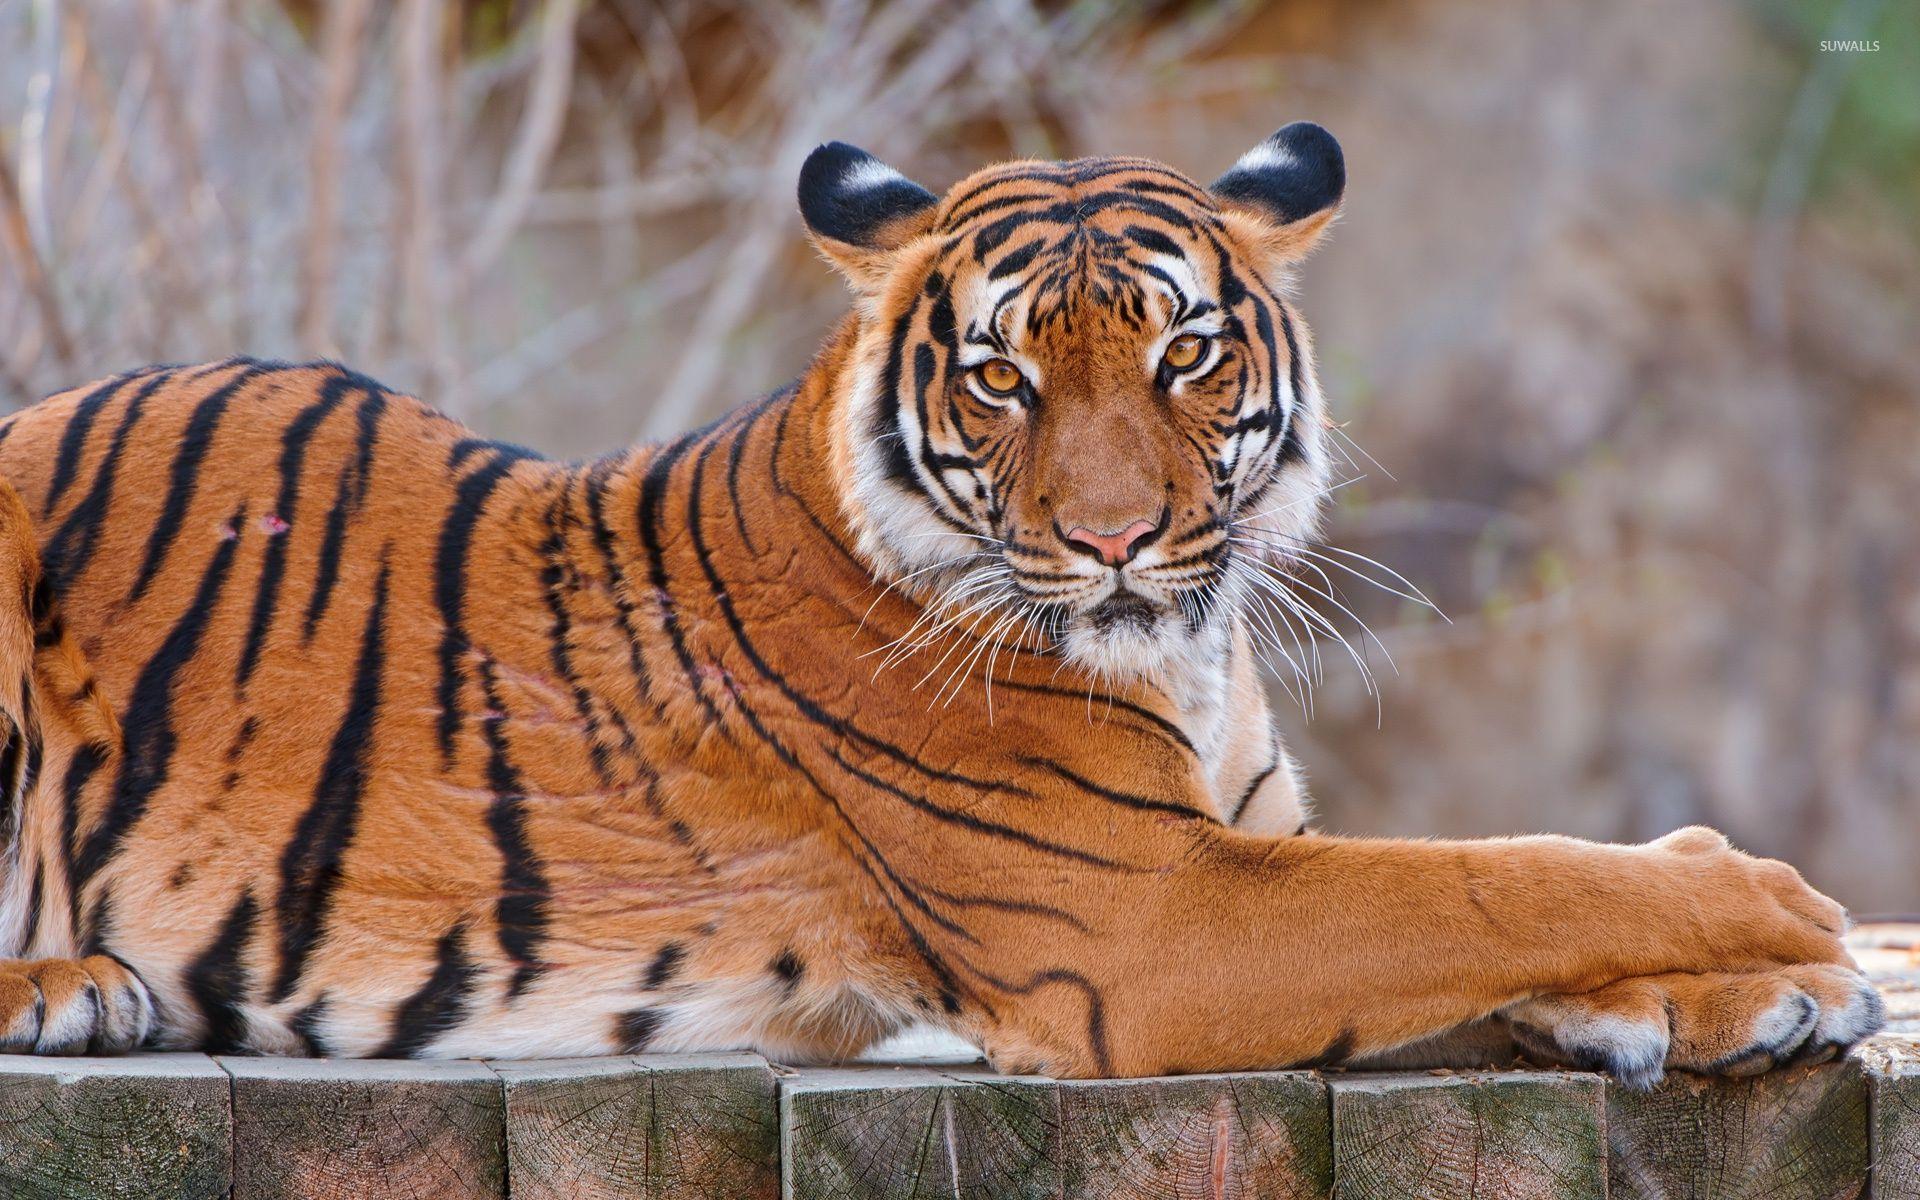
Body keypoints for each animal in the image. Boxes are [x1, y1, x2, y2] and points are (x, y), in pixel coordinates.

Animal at [0, 123, 1881, 1084]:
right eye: (1000, 377)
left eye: (1186, 357)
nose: (1120, 541)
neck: (1189, 660)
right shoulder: (1148, 921)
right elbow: (1484, 881)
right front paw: (1772, 906)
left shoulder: (1239, 851)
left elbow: (1481, 916)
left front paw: (1730, 994)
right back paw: (67, 985)